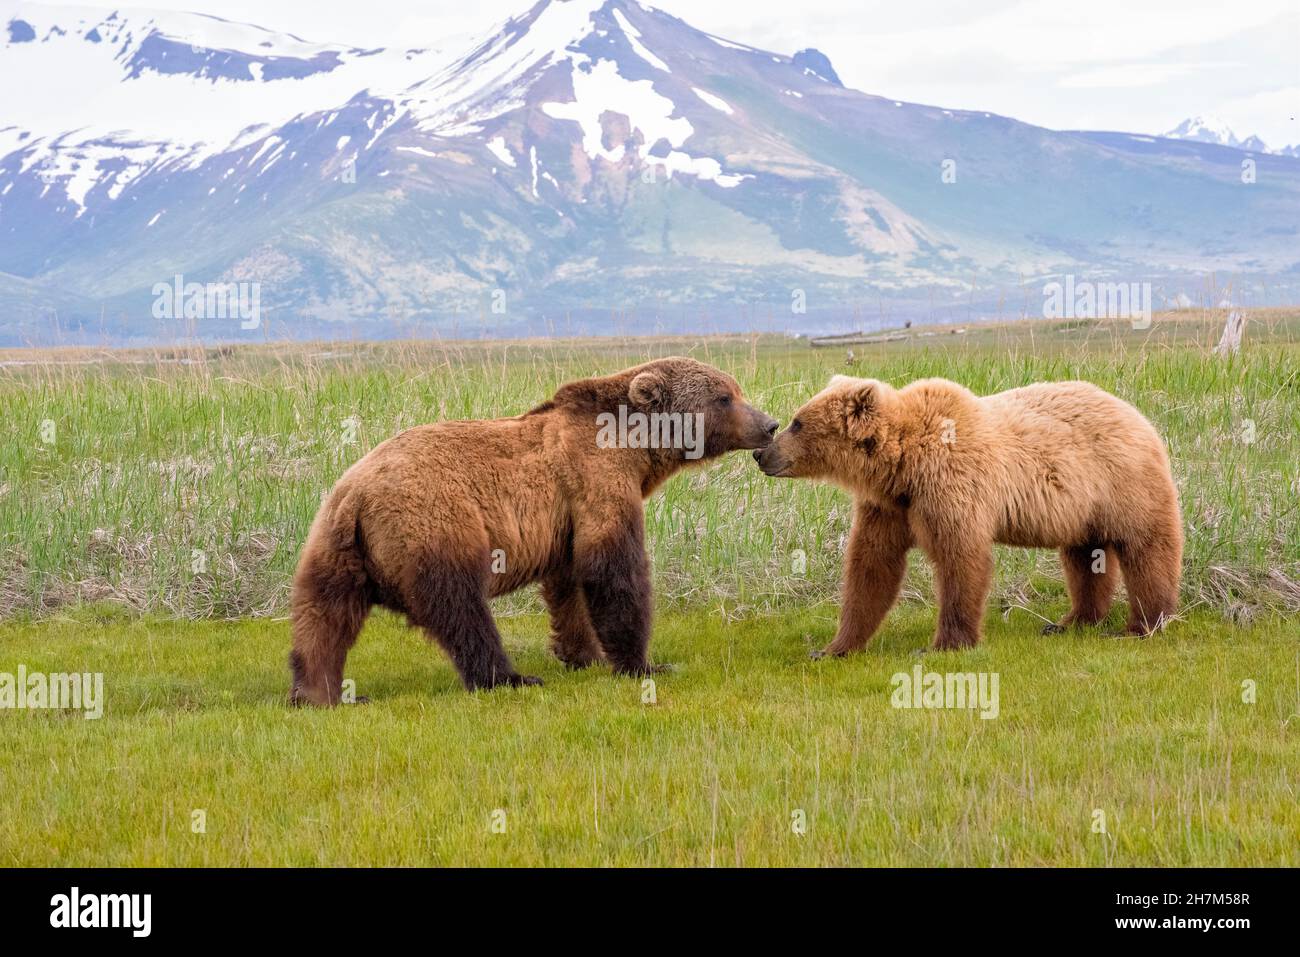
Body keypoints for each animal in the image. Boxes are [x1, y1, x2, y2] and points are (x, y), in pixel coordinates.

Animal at [291, 356, 774, 702]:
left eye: (735, 389)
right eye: (724, 397)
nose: (768, 424)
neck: (637, 450)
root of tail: (356, 495)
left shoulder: (564, 519)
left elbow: (569, 583)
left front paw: (583, 654)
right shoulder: (596, 478)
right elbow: (612, 569)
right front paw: (643, 663)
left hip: (333, 546)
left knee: (323, 616)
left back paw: (318, 691)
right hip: (434, 524)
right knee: (460, 607)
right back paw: (509, 677)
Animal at [754, 377, 1190, 655]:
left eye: (797, 422)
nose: (762, 452)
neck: (902, 464)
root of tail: (1141, 417)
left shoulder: (951, 485)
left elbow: (960, 558)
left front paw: (944, 643)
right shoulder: (891, 505)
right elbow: (872, 565)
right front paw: (834, 646)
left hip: (1123, 483)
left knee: (1146, 548)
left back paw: (1144, 625)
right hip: (1082, 507)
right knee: (1085, 558)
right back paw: (1071, 621)